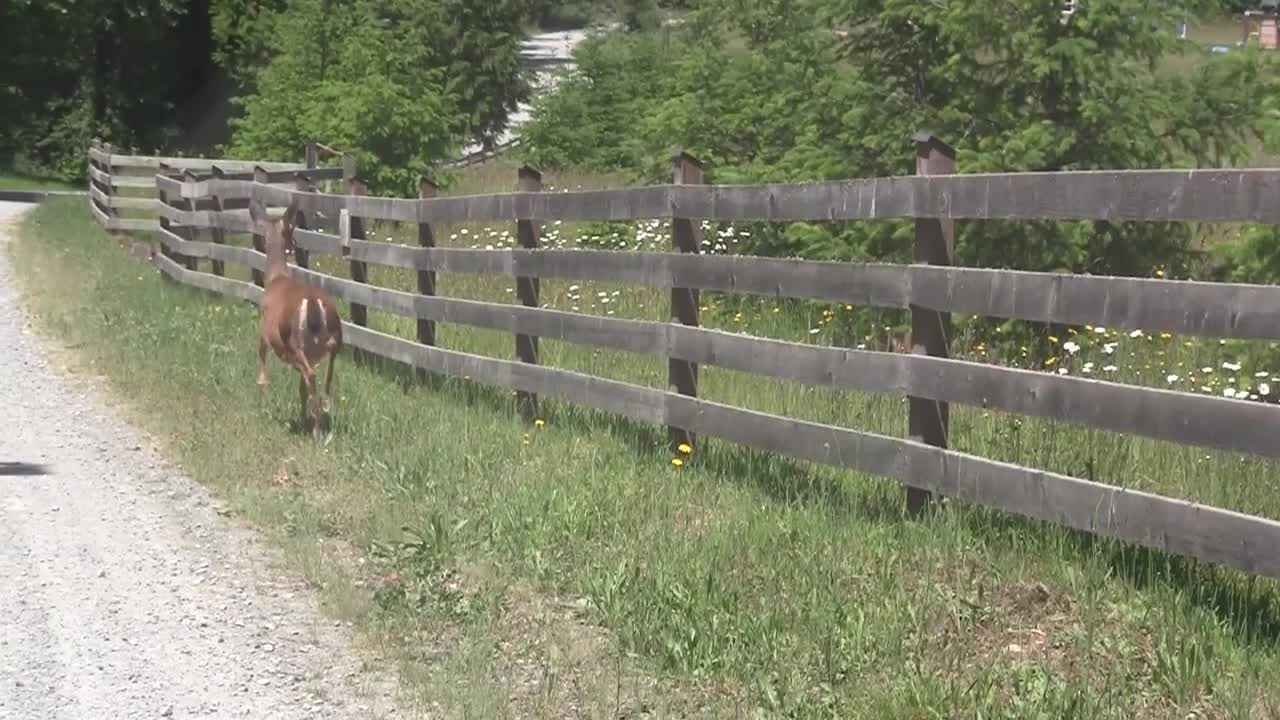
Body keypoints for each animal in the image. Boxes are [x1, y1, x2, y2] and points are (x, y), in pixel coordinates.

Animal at [247, 198, 340, 440]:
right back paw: (322, 418)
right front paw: (302, 417)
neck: (275, 278)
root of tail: (314, 304)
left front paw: (264, 406)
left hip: (293, 342)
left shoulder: (263, 334)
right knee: (326, 378)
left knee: (311, 376)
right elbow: (300, 388)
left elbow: (262, 375)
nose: (294, 244)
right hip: (334, 341)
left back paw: (316, 431)